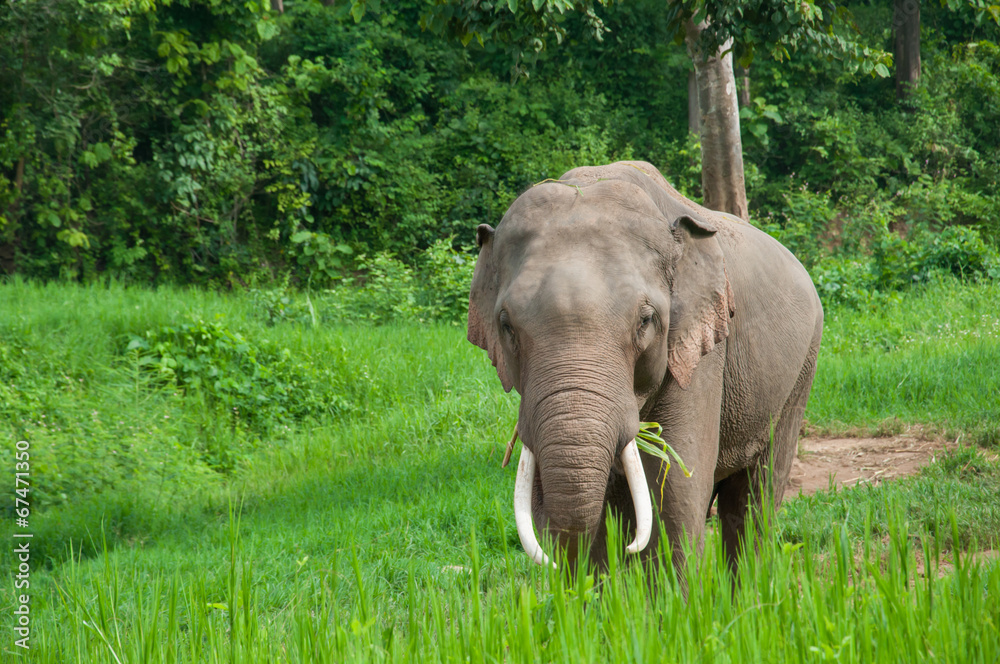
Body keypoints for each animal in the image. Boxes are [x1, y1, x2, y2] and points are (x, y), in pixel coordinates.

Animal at [466, 160, 820, 572]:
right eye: (506, 325)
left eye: (646, 321)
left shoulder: (700, 355)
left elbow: (674, 495)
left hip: (801, 368)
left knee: (757, 497)